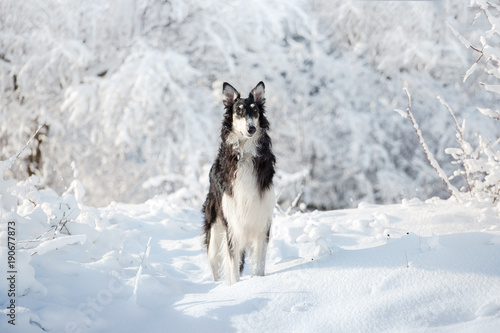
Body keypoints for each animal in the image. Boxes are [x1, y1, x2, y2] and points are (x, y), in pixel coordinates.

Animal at [201, 80, 276, 282]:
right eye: (239, 111)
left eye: (255, 111)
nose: (251, 128)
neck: (246, 154)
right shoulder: (233, 225)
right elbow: (233, 267)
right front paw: (236, 287)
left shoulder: (262, 221)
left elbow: (259, 264)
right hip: (215, 232)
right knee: (215, 264)